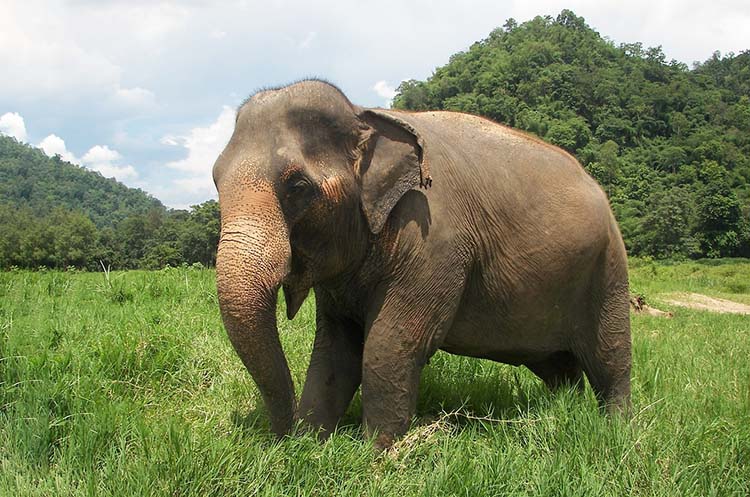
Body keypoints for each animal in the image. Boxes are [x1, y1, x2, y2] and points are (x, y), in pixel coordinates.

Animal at [213, 78, 636, 450]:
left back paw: (615, 429)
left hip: (609, 267)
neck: (364, 114)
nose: (279, 439)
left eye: (298, 187)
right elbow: (336, 348)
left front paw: (376, 454)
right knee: (560, 368)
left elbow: (392, 342)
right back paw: (563, 412)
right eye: (216, 181)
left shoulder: (435, 240)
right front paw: (311, 444)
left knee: (610, 357)